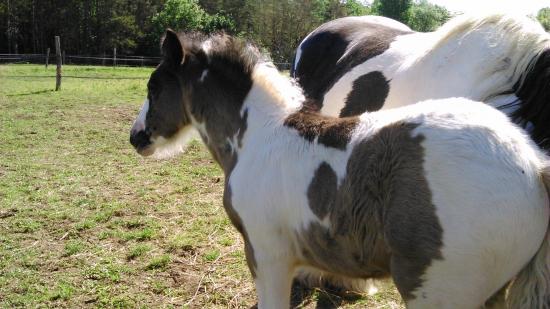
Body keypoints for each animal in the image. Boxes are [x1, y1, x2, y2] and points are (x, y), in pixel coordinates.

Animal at [130, 30, 550, 306]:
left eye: (154, 88)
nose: (137, 137)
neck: (258, 136)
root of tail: (533, 163)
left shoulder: (267, 254)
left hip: (440, 291)